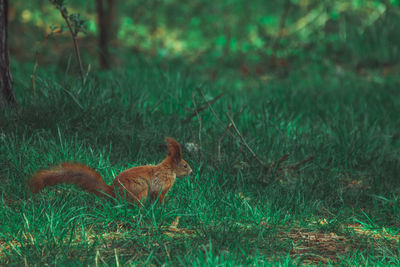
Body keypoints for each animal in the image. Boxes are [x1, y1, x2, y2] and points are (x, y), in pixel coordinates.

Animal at [28, 138, 192, 205]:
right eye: (185, 165)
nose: (191, 171)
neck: (168, 169)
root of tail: (113, 193)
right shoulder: (162, 184)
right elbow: (159, 196)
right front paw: (163, 207)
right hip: (140, 189)